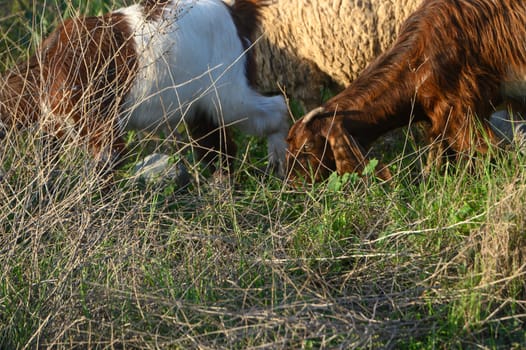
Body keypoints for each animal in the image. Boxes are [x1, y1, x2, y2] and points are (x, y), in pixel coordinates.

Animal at [0, 0, 288, 175]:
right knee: (217, 146)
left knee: (276, 108)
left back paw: (280, 160)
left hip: (228, 92)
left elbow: (107, 164)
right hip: (202, 104)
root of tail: (232, 11)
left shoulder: (100, 124)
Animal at [286, 0, 526, 185]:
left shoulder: (464, 113)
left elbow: (490, 152)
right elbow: (438, 155)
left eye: (307, 146)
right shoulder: (441, 119)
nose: (293, 183)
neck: (417, 64)